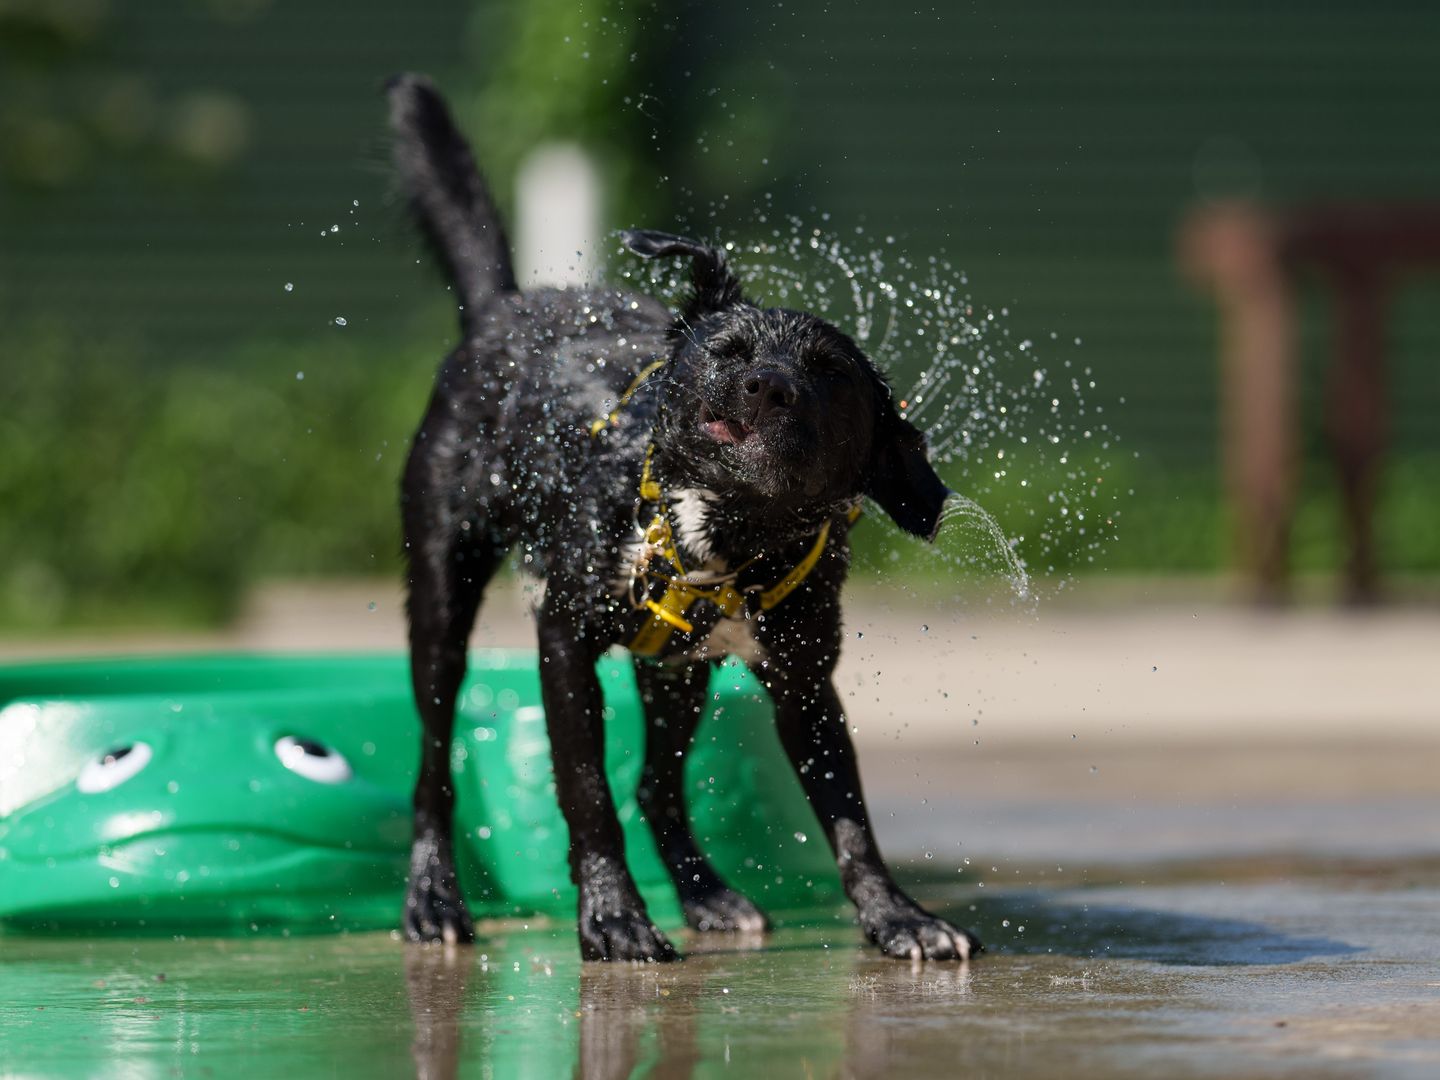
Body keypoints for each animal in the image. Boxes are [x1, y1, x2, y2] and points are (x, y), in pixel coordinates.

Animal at [388, 74, 984, 961]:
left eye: (830, 372)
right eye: (726, 352)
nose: (768, 387)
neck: (726, 534)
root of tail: (505, 310)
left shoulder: (806, 687)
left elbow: (851, 823)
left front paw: (897, 917)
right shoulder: (563, 643)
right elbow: (586, 791)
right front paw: (614, 918)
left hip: (679, 675)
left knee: (656, 786)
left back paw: (707, 894)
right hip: (442, 595)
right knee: (434, 764)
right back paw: (432, 899)